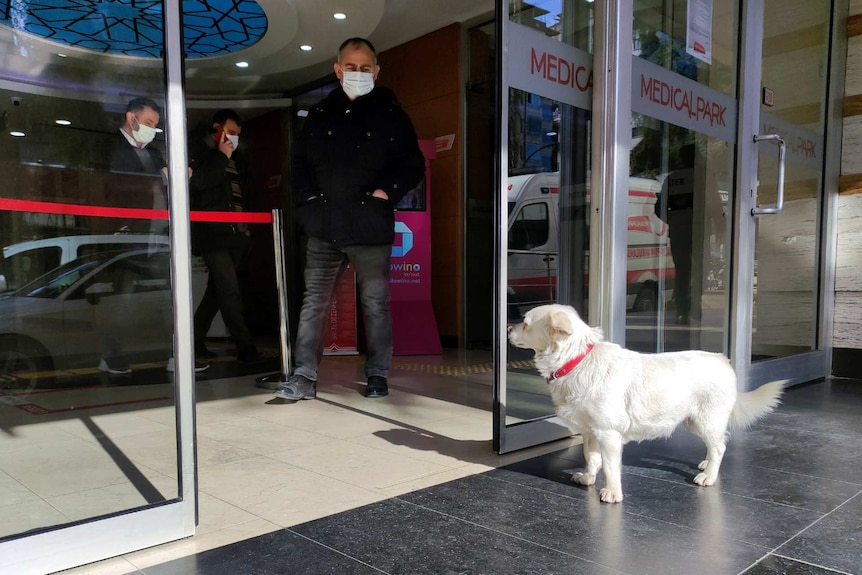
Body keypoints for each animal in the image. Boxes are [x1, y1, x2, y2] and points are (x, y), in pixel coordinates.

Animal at [510, 306, 788, 504]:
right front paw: (588, 478)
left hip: (707, 420)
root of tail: (722, 359)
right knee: (715, 445)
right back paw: (706, 464)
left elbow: (610, 467)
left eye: (525, 323)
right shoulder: (590, 432)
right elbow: (591, 458)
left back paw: (709, 476)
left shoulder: (609, 434)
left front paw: (612, 493)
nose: (508, 327)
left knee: (720, 446)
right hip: (693, 422)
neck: (577, 360)